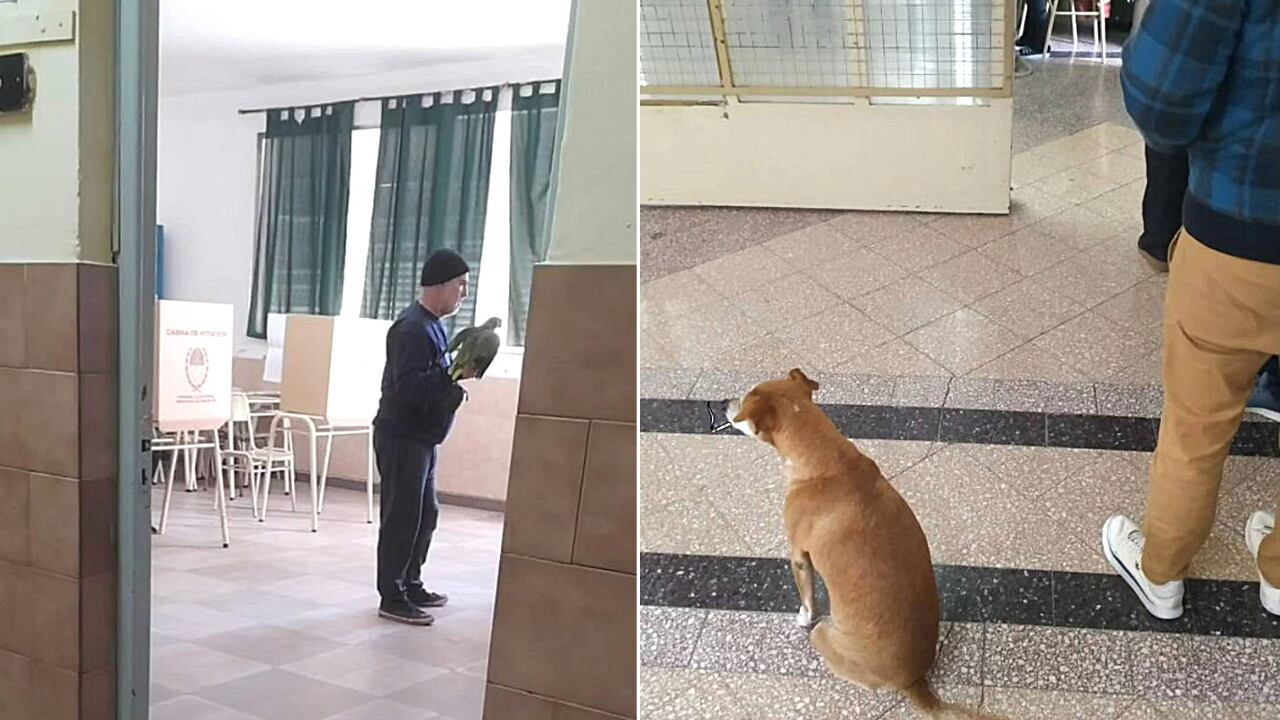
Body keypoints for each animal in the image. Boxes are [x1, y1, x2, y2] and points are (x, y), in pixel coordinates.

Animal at [727, 366, 1003, 712]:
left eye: (741, 406)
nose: (724, 402)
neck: (828, 460)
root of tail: (914, 683)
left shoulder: (799, 555)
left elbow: (807, 596)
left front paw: (802, 616)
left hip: (825, 633)